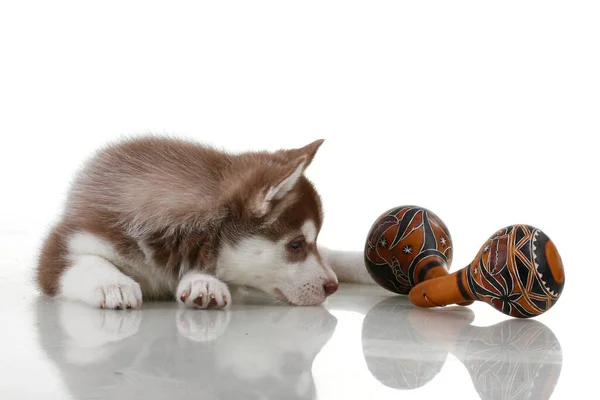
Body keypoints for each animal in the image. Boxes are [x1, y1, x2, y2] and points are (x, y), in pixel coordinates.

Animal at [36, 137, 370, 310]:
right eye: (296, 244)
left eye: (305, 243)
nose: (332, 287)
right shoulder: (70, 239)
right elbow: (87, 262)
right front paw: (113, 284)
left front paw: (202, 281)